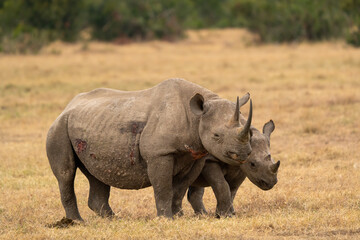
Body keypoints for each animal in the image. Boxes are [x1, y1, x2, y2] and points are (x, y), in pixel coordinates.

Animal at [45, 79, 253, 219]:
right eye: (216, 136)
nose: (244, 153)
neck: (196, 117)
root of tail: (67, 107)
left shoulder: (196, 156)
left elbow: (179, 189)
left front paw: (178, 216)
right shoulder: (159, 154)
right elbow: (163, 187)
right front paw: (166, 218)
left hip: (90, 125)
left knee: (96, 174)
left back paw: (113, 219)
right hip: (59, 128)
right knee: (66, 174)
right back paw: (77, 222)